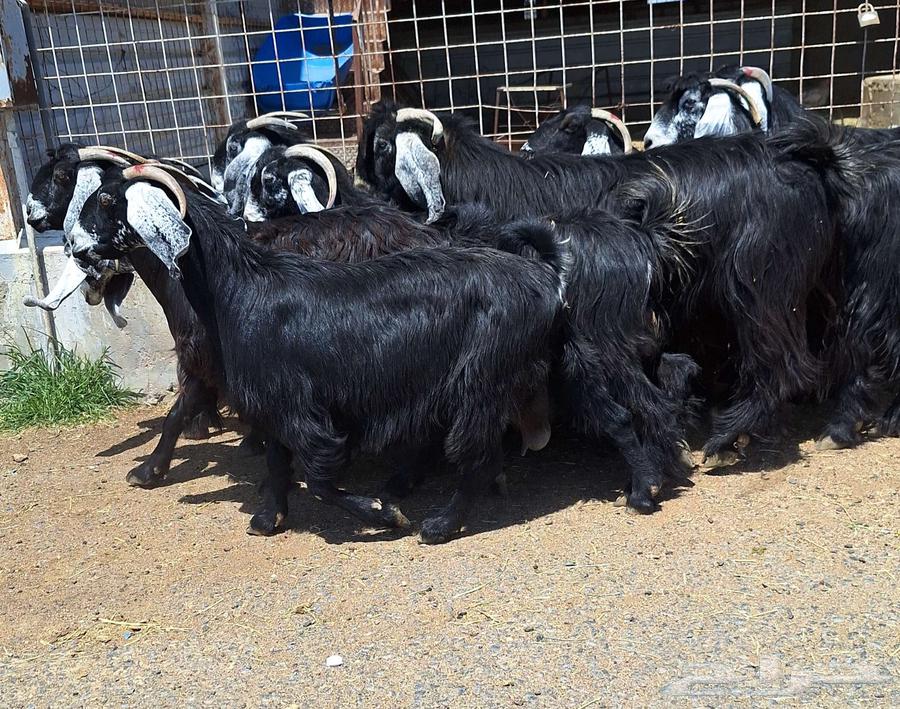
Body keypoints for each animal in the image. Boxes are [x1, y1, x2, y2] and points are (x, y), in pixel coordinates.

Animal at [71, 165, 567, 544]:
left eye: (108, 200)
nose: (75, 248)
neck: (239, 288)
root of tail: (543, 277)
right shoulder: (271, 400)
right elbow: (275, 460)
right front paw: (267, 517)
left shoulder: (298, 407)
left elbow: (319, 477)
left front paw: (385, 514)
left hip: (480, 379)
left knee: (474, 454)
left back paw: (439, 524)